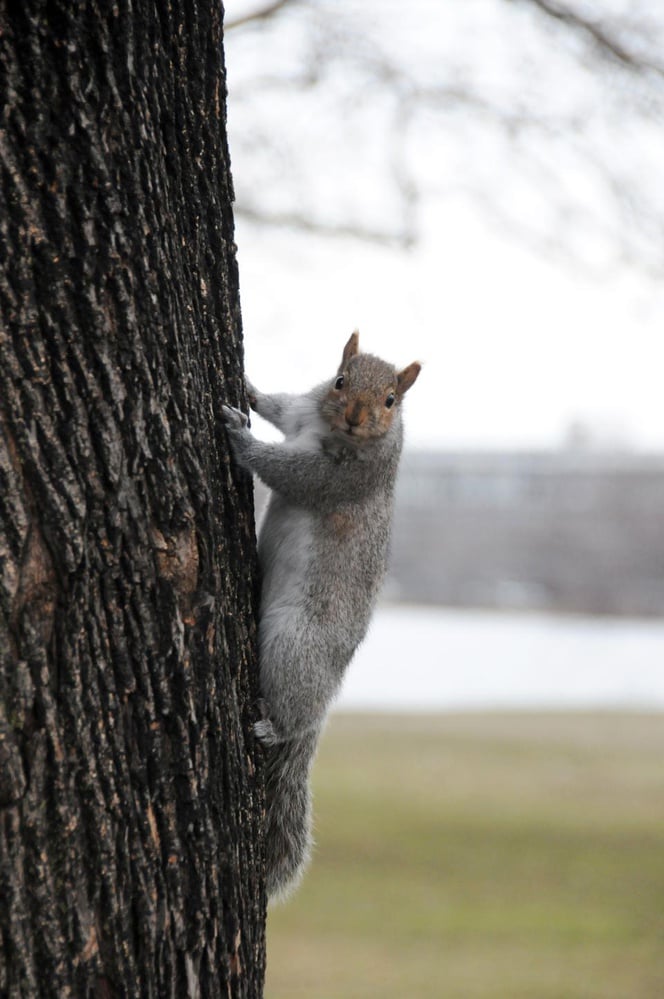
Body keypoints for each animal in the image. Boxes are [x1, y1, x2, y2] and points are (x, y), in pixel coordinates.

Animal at [222, 331, 420, 902]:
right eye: (339, 380)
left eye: (391, 401)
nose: (356, 416)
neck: (329, 429)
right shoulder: (300, 413)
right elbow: (278, 406)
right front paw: (249, 390)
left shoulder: (341, 477)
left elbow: (290, 471)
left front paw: (240, 439)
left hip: (292, 646)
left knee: (294, 713)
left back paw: (272, 729)